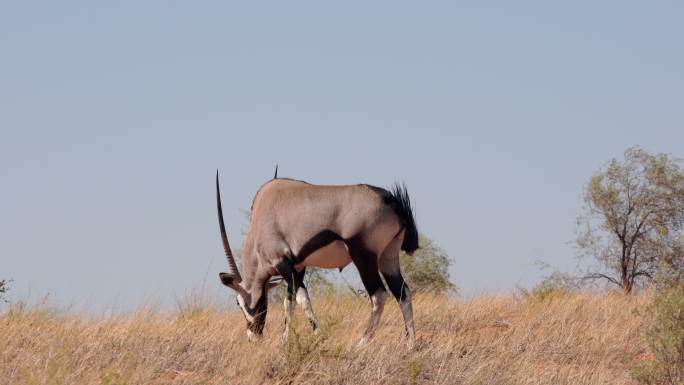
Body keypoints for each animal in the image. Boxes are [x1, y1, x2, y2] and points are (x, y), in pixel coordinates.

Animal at [216, 170, 420, 344]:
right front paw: (284, 341)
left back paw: (361, 343)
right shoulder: (298, 266)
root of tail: (391, 200)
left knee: (379, 294)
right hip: (388, 256)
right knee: (402, 292)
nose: (253, 337)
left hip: (364, 257)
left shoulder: (281, 260)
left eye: (238, 303)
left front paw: (319, 336)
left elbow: (302, 298)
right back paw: (410, 344)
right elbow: (288, 303)